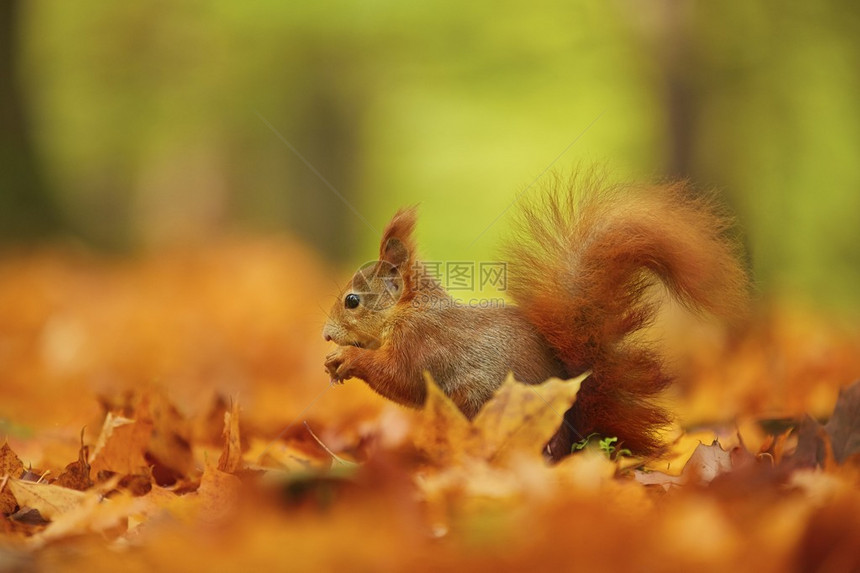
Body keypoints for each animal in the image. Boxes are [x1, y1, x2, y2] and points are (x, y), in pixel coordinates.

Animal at [322, 172, 744, 458]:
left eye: (352, 301)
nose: (325, 334)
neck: (410, 310)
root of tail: (574, 444)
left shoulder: (422, 342)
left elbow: (401, 379)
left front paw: (347, 359)